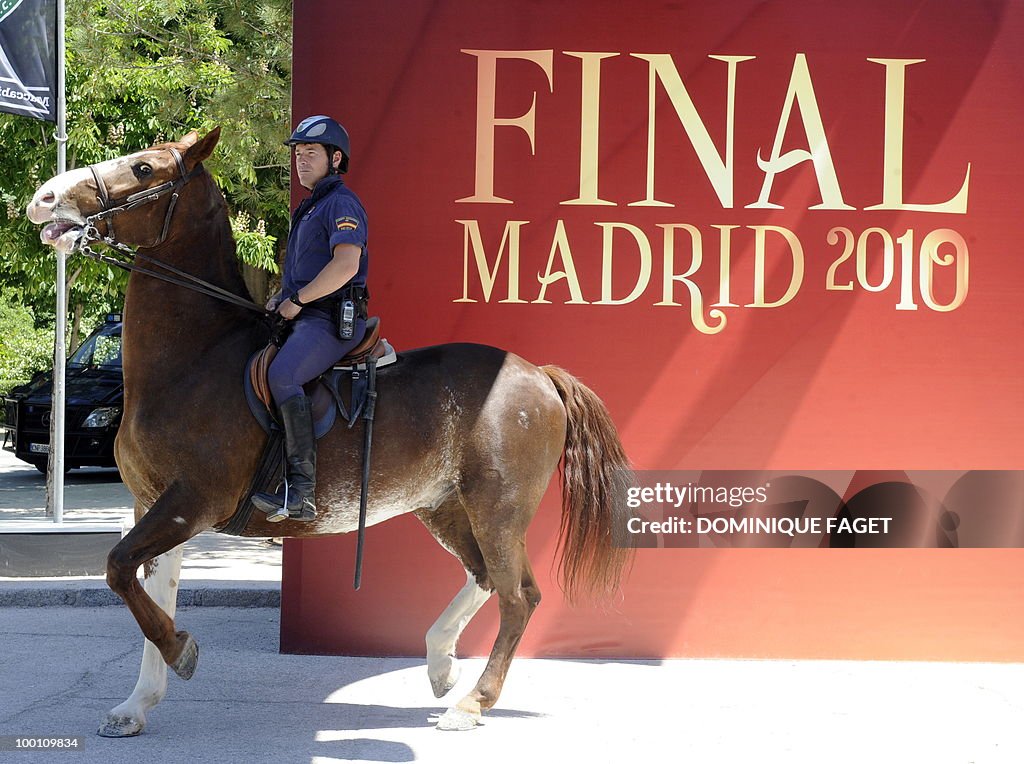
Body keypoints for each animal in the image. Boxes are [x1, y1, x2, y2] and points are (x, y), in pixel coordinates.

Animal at [24, 128, 630, 733]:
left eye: (144, 169)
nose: (45, 198)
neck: (194, 358)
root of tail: (538, 374)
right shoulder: (151, 504)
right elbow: (148, 590)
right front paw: (137, 703)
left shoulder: (189, 502)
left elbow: (118, 569)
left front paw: (181, 650)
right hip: (446, 506)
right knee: (482, 576)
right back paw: (441, 664)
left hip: (498, 509)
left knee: (518, 595)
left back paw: (470, 702)